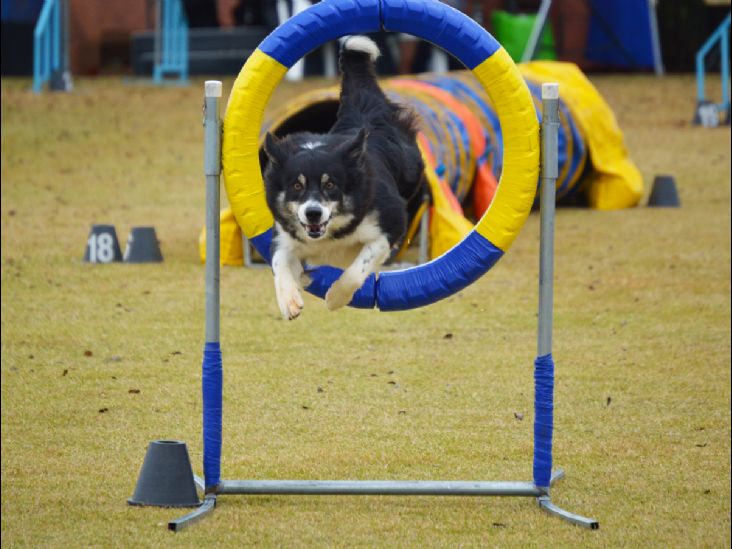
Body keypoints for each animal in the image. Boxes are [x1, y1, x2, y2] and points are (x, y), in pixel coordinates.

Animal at [264, 36, 424, 318]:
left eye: (330, 185)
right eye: (296, 185)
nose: (313, 213)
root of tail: (361, 110)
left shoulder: (389, 226)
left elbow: (356, 270)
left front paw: (335, 298)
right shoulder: (284, 236)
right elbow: (279, 263)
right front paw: (289, 301)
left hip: (411, 167)